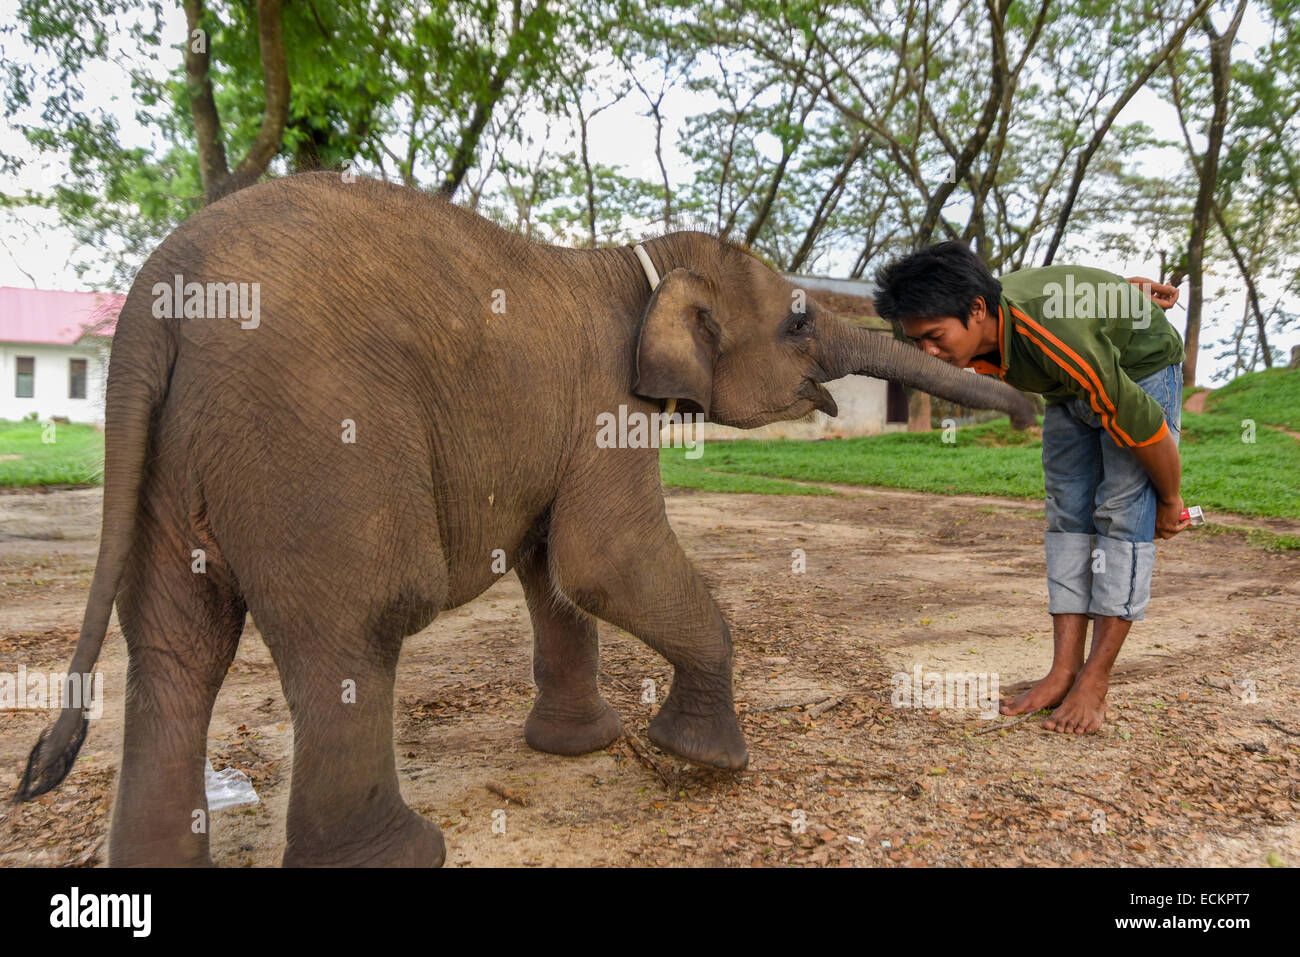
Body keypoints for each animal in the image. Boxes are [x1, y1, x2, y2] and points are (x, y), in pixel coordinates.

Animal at [17, 171, 1034, 868]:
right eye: (796, 322)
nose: (1027, 411)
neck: (638, 257)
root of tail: (152, 306)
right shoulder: (605, 402)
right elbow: (603, 558)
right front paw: (699, 760)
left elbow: (555, 572)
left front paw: (586, 747)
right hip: (311, 435)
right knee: (365, 621)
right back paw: (404, 855)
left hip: (168, 457)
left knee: (177, 650)